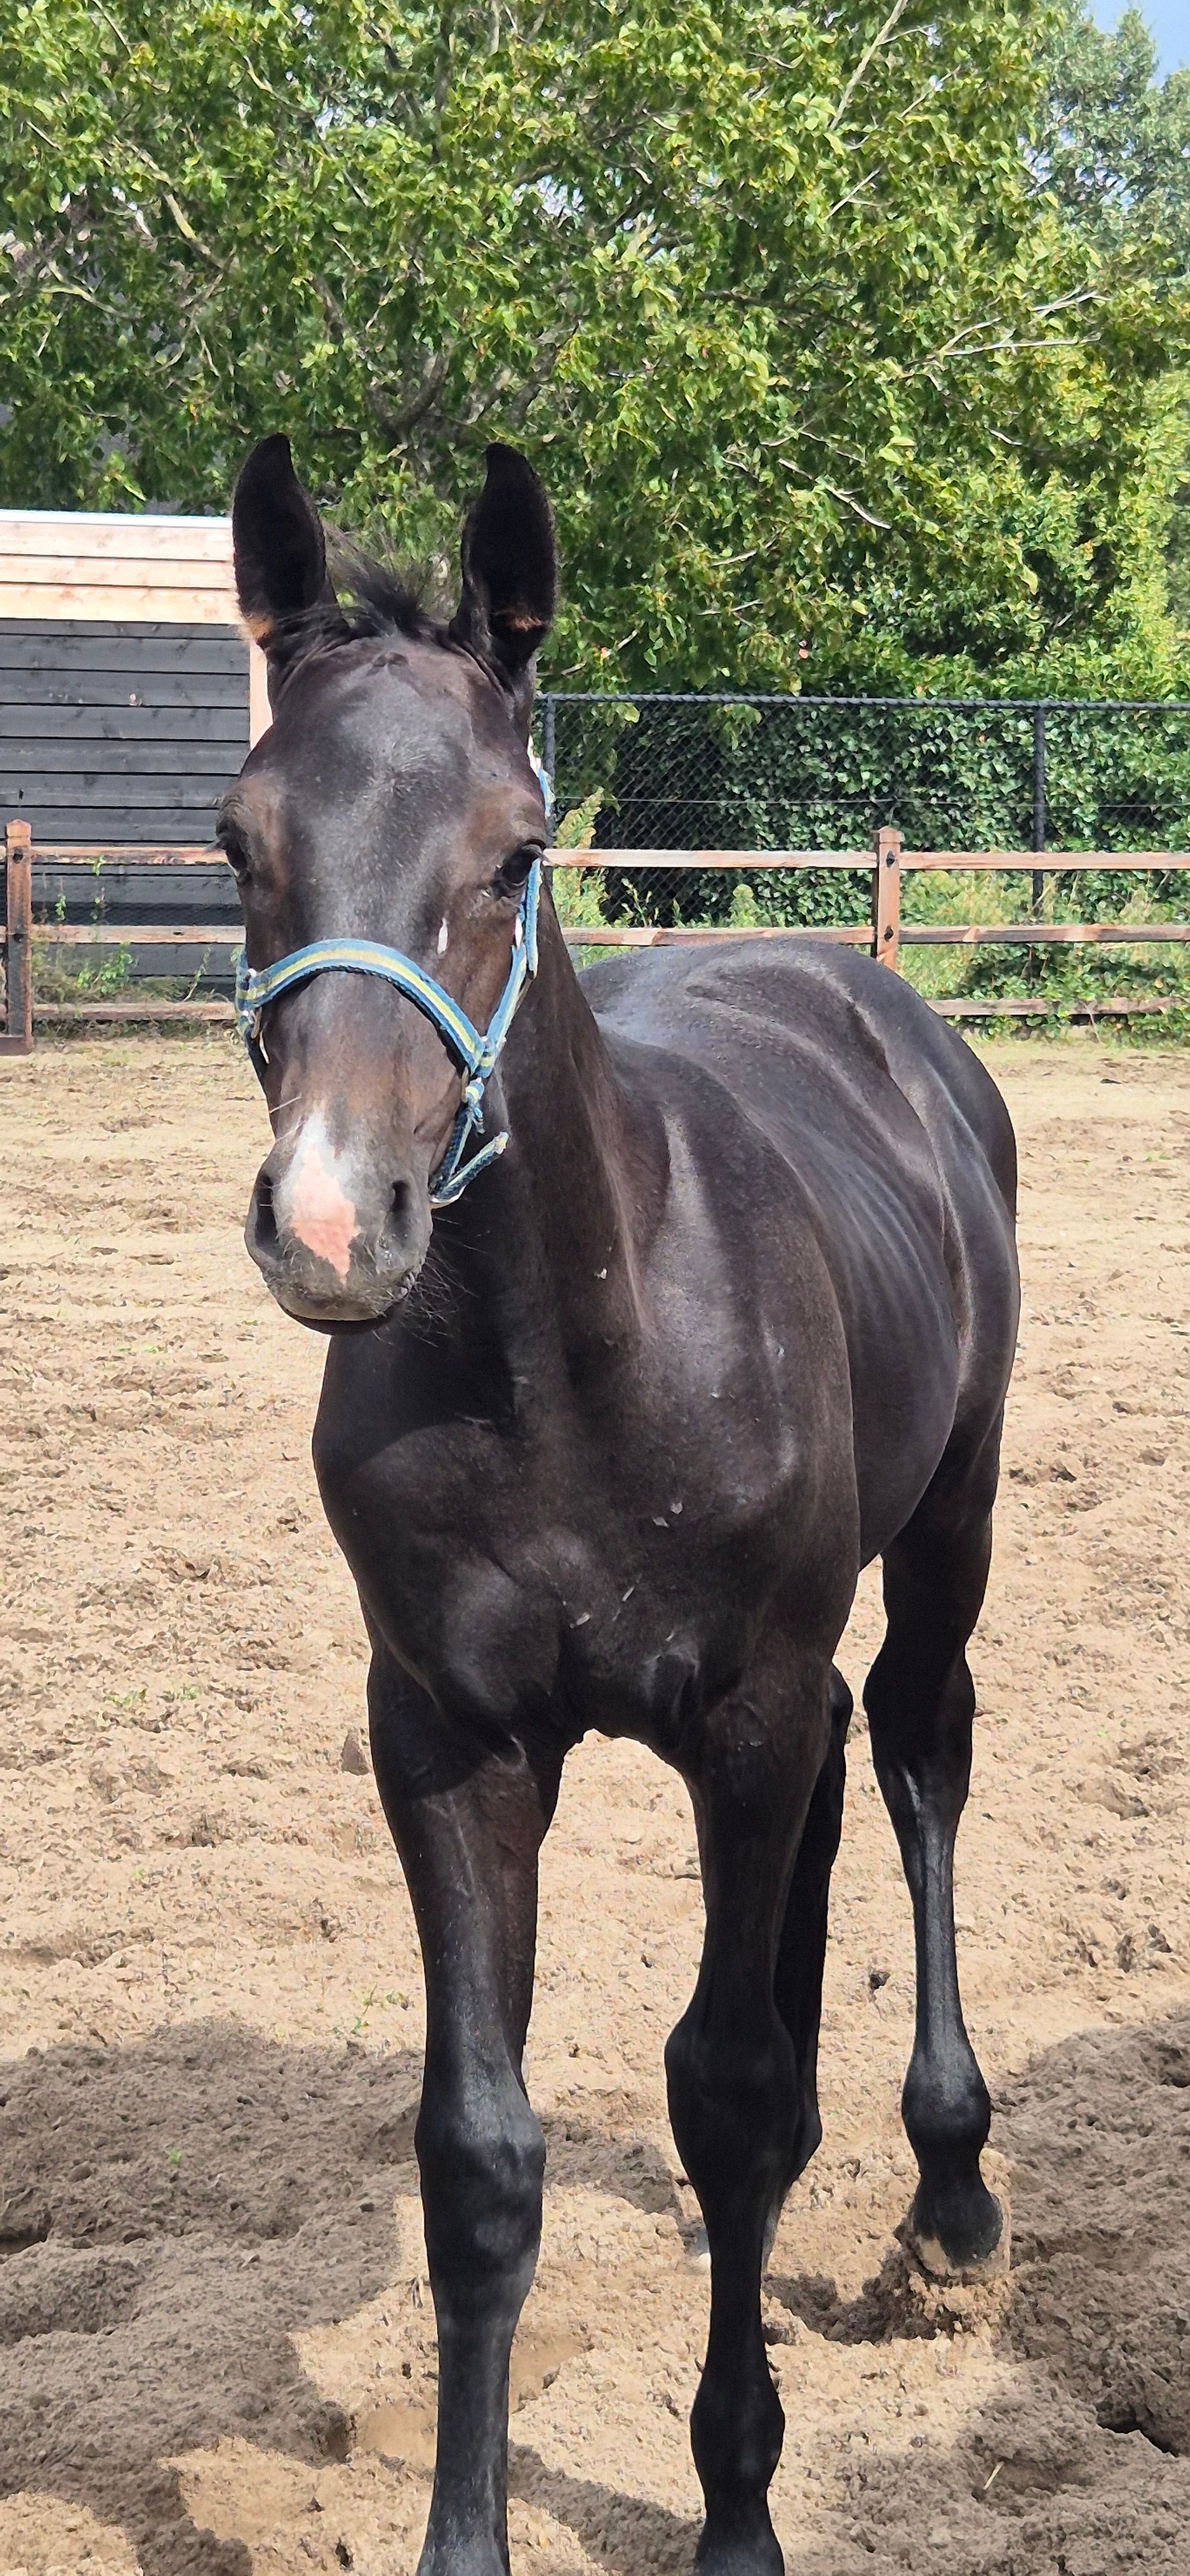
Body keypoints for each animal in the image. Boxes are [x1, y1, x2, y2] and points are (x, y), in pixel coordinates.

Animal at [222, 432, 1019, 2576]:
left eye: (514, 852)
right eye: (241, 845)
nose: (332, 1225)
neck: (567, 1367)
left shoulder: (738, 1708)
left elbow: (720, 2097)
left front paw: (738, 2510)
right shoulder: (449, 1734)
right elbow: (481, 2154)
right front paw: (462, 2538)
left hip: (945, 1537)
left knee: (913, 1754)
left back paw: (946, 2191)